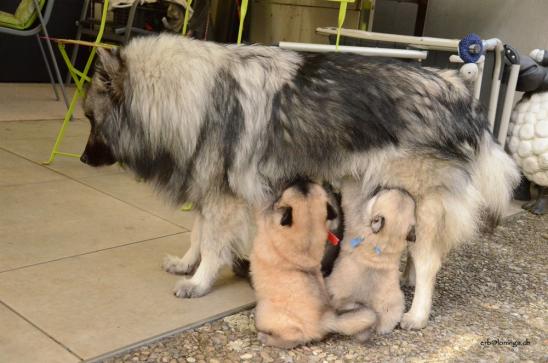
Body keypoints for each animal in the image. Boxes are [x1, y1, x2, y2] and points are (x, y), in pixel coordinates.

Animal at [252, 181, 376, 348]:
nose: (300, 178)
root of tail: (325, 320)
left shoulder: (264, 220)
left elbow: (262, 208)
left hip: (265, 313)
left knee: (294, 339)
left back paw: (266, 338)